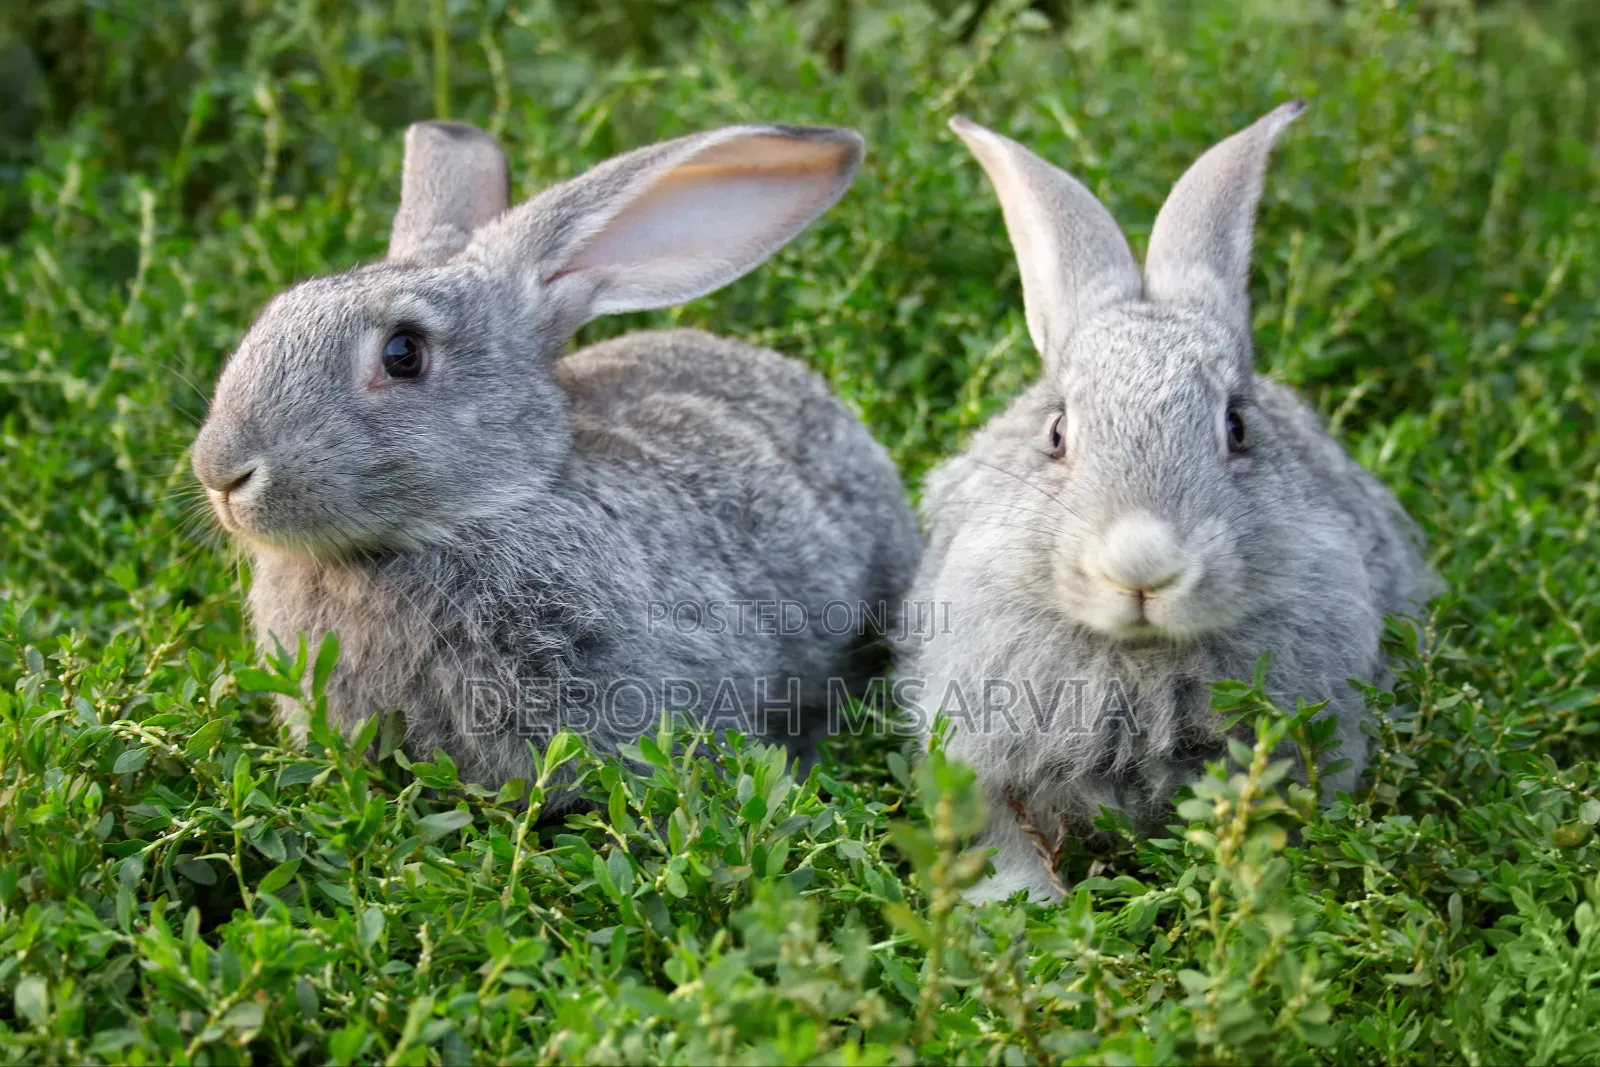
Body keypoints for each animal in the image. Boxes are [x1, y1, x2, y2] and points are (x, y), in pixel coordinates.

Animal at [896, 101, 1435, 903]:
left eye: (1237, 427)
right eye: (1057, 433)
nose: (1142, 565)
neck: (1141, 658)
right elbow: (1002, 839)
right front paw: (1016, 904)